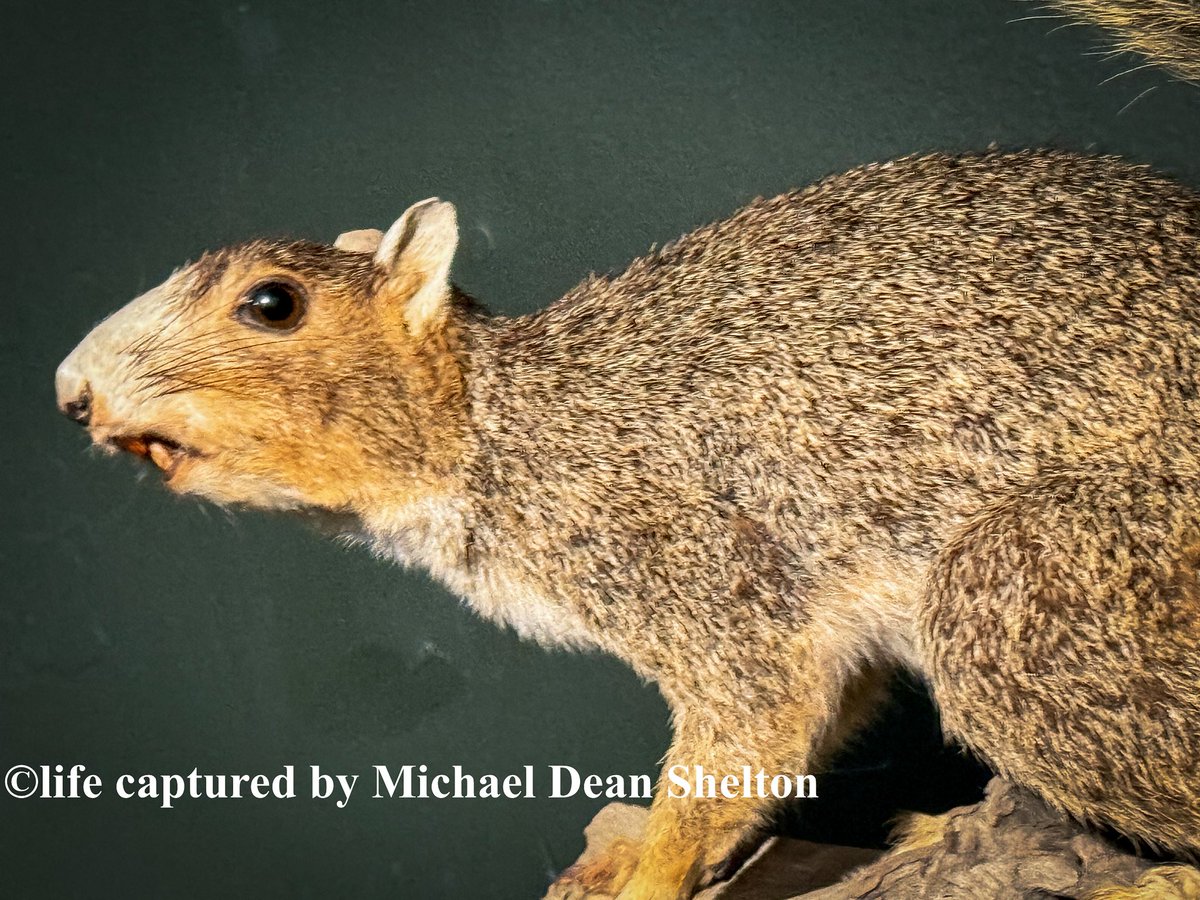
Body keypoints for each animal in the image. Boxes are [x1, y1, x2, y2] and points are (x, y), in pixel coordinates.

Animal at [52, 3, 1200, 899]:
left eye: (272, 304)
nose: (71, 392)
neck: (506, 430)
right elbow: (811, 726)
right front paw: (629, 853)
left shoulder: (694, 563)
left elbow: (750, 722)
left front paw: (651, 873)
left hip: (1028, 601)